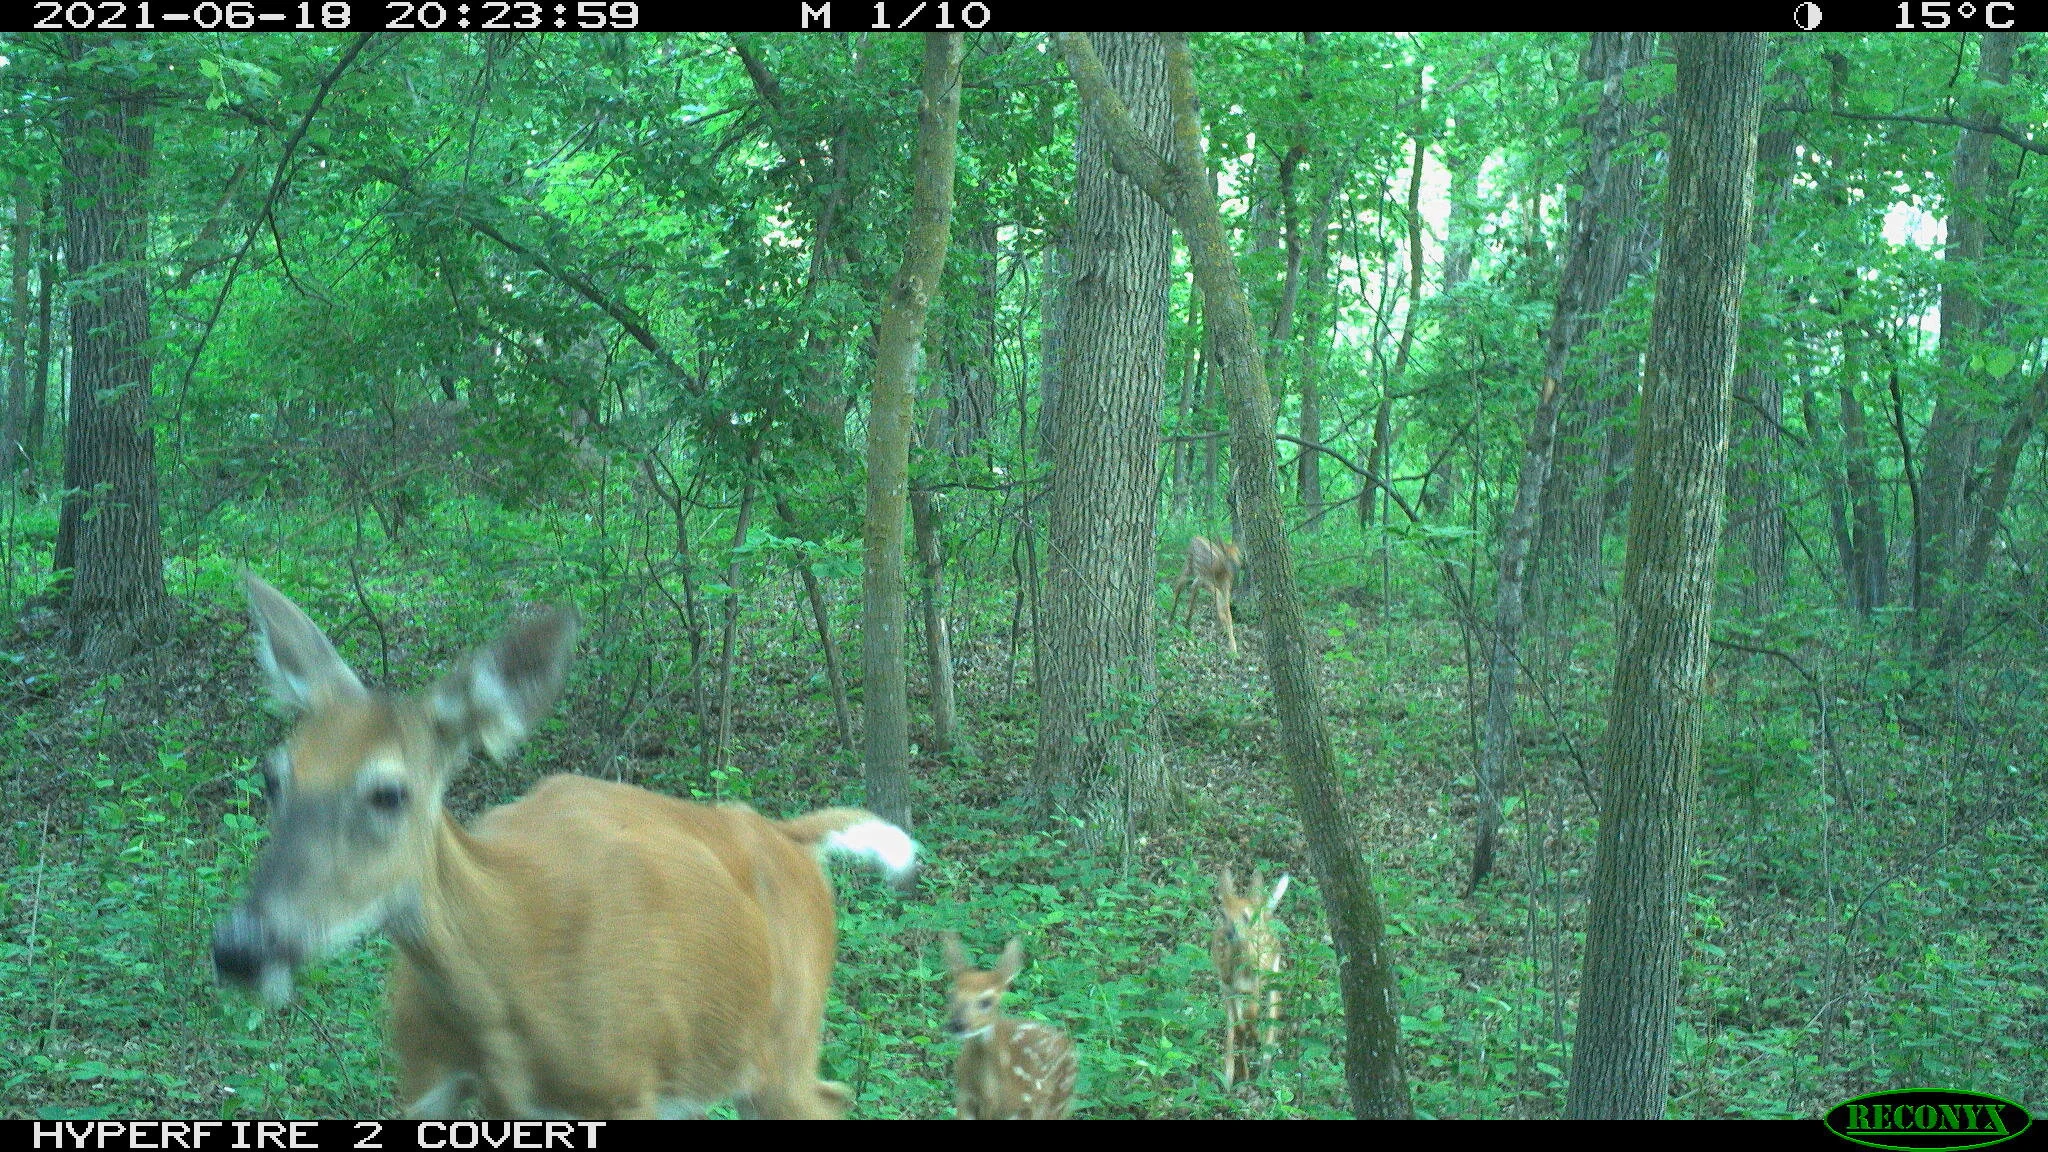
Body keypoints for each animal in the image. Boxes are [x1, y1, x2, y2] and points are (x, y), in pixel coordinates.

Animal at [212, 575, 917, 1120]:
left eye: (389, 792)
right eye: (273, 776)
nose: (240, 948)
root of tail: (790, 836)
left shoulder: (623, 1088)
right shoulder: (423, 1082)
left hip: (784, 1038)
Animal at [941, 934, 1077, 1119]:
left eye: (986, 1001)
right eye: (951, 995)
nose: (957, 1024)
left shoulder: (1017, 1107)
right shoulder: (963, 1097)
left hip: (1056, 1103)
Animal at [1210, 866, 1290, 1088]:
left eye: (1246, 917)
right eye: (1222, 914)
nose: (1231, 932)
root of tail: (1266, 911)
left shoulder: (1257, 981)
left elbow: (1252, 1015)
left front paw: (1256, 1037)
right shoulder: (1227, 986)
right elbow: (1238, 1027)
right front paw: (1236, 1074)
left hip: (1273, 971)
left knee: (1272, 1009)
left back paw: (1264, 1064)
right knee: (1234, 1029)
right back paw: (1231, 1077)